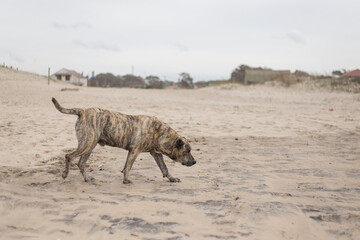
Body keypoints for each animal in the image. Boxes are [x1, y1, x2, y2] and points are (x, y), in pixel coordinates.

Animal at [51, 97, 194, 184]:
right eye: (187, 151)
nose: (195, 162)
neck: (160, 133)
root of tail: (83, 111)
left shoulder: (156, 154)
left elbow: (164, 168)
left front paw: (172, 178)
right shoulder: (134, 151)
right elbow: (128, 167)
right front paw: (126, 180)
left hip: (89, 146)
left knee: (81, 163)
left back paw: (86, 178)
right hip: (87, 144)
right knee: (69, 156)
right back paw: (65, 174)